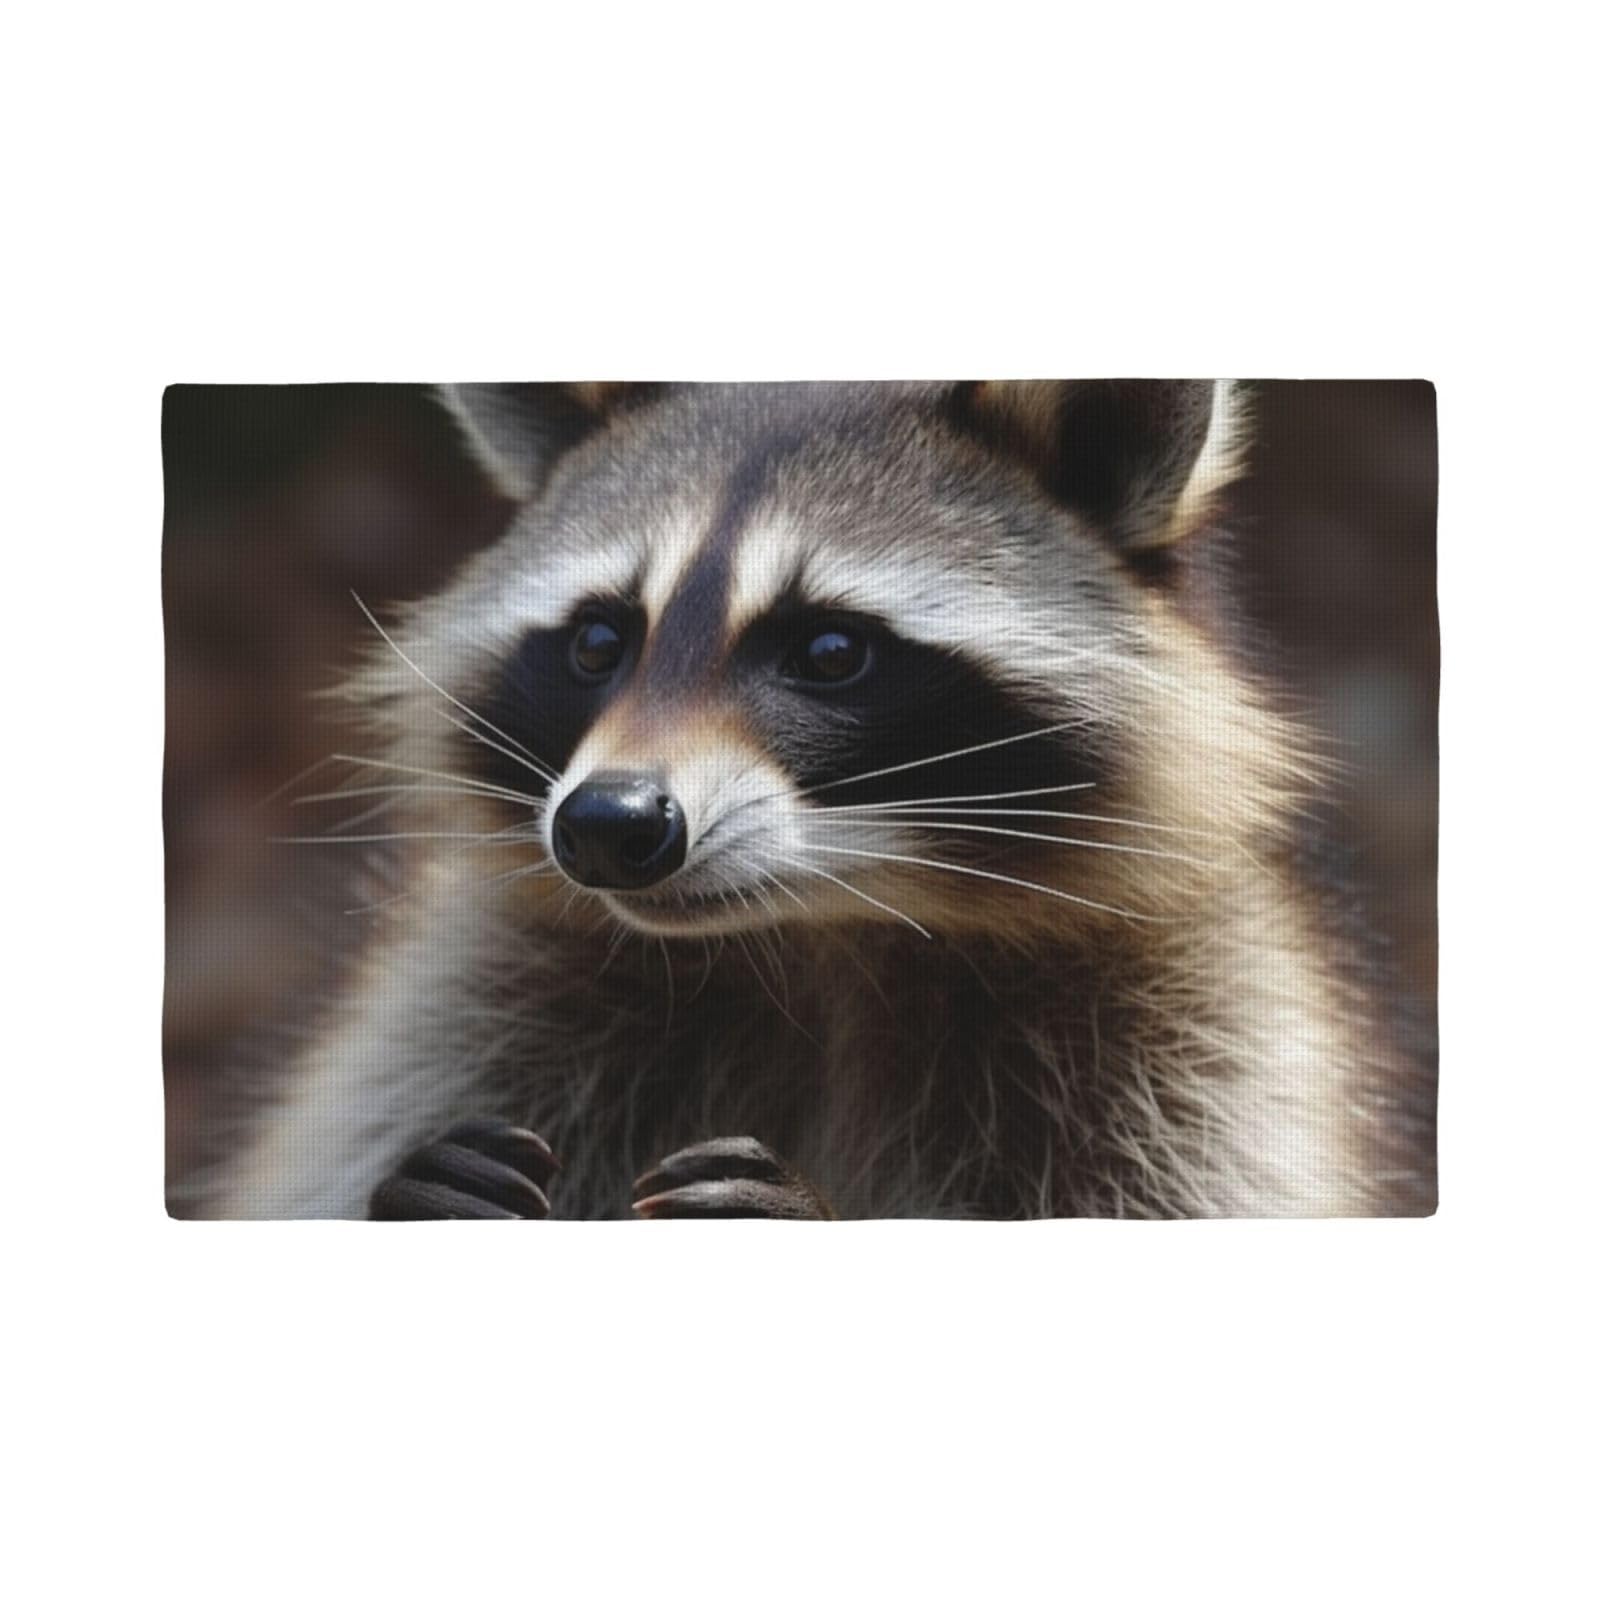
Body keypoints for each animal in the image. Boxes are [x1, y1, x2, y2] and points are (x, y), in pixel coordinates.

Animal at [204, 380, 1432, 1220]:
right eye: (599, 641)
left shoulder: (1201, 1039)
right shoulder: (474, 997)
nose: (606, 827)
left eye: (832, 651)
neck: (820, 927)